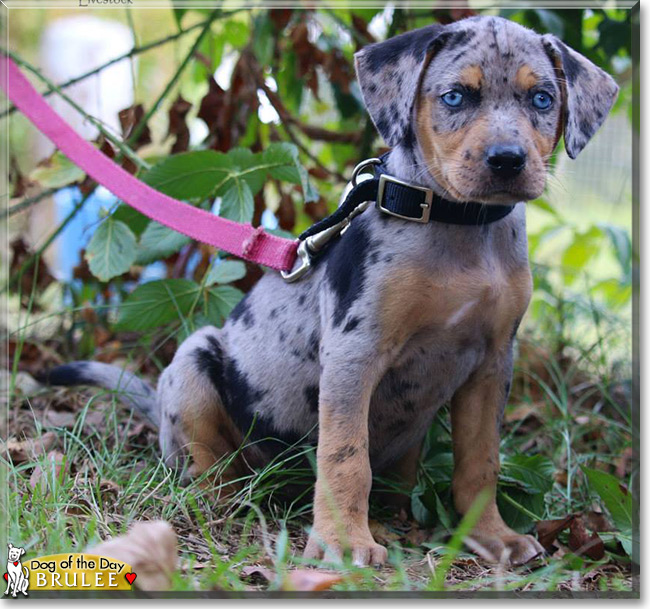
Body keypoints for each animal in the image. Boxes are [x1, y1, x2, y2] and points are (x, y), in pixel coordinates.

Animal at [41, 15, 616, 564]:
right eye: (456, 96)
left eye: (542, 99)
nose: (507, 159)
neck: (459, 224)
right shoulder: (355, 350)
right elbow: (346, 457)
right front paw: (343, 544)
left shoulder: (493, 362)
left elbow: (480, 462)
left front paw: (492, 536)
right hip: (192, 364)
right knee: (207, 464)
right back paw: (227, 501)